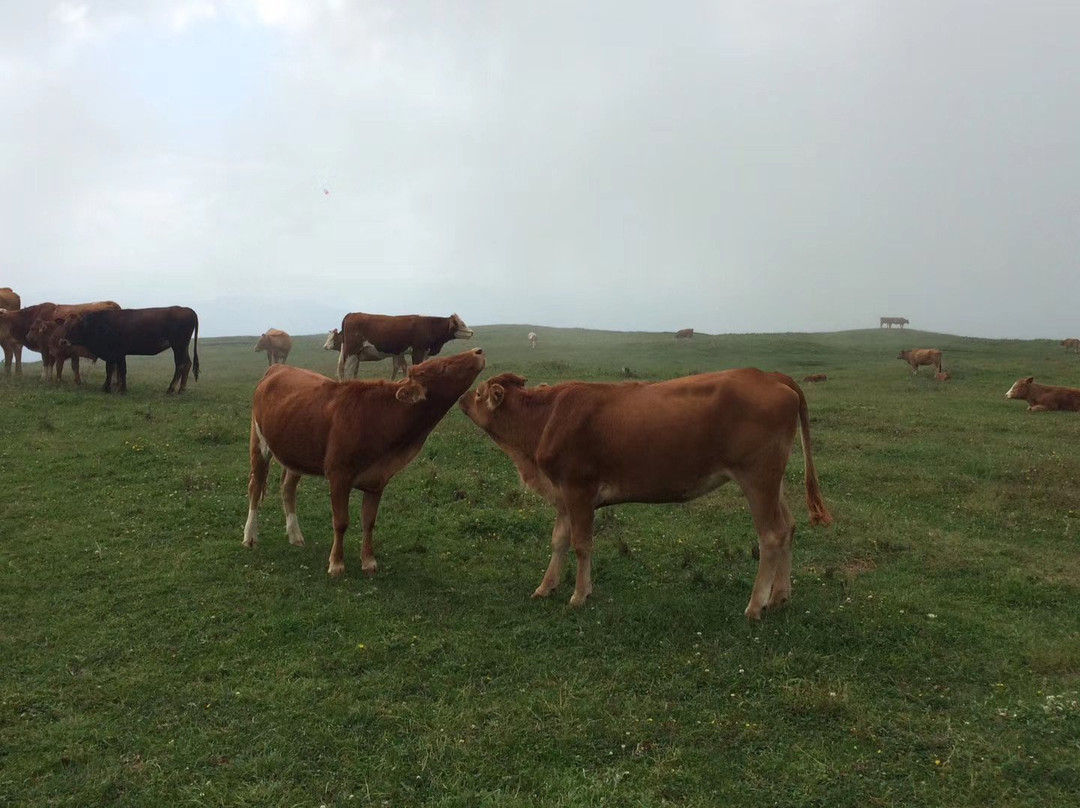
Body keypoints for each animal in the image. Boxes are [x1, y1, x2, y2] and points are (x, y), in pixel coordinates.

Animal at [59, 304, 200, 393]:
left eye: (74, 326)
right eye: (64, 326)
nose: (63, 341)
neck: (100, 324)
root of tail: (188, 310)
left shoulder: (115, 353)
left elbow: (115, 370)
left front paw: (113, 389)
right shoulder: (117, 354)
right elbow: (117, 370)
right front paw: (117, 387)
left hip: (179, 346)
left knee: (181, 365)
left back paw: (172, 389)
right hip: (182, 347)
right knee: (186, 364)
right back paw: (181, 389)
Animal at [245, 349, 486, 578]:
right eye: (444, 367)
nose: (478, 351)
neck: (381, 417)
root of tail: (278, 368)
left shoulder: (377, 480)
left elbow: (368, 521)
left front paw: (369, 561)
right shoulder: (339, 476)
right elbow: (341, 522)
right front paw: (336, 564)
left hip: (296, 450)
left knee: (287, 488)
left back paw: (295, 535)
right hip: (259, 444)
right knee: (255, 488)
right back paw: (250, 536)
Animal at [336, 313, 473, 382]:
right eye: (461, 324)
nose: (471, 332)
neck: (429, 326)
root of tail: (352, 314)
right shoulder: (418, 350)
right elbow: (415, 367)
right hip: (352, 352)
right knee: (348, 370)